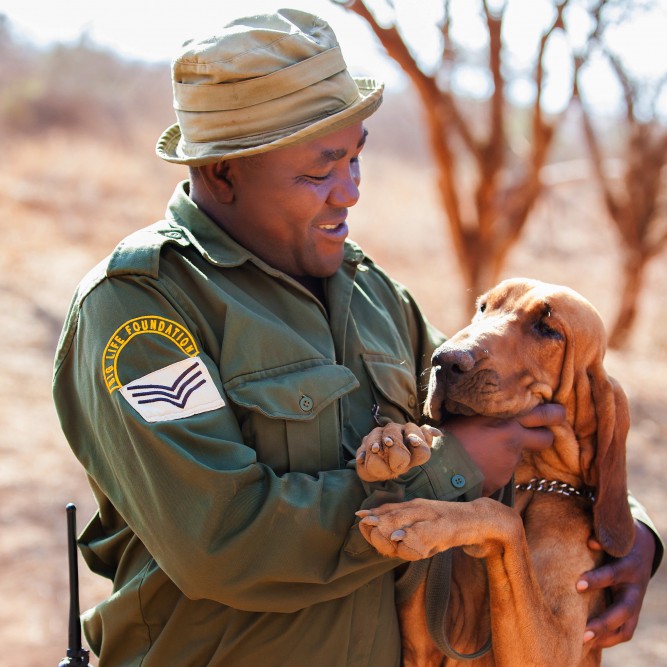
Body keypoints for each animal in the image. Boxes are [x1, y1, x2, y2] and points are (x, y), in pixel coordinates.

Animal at [354, 278, 636, 667]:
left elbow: (503, 517)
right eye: (483, 308)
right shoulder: (421, 646)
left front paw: (422, 518)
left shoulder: (556, 649)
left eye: (548, 328)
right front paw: (395, 437)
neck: (531, 484)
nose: (444, 360)